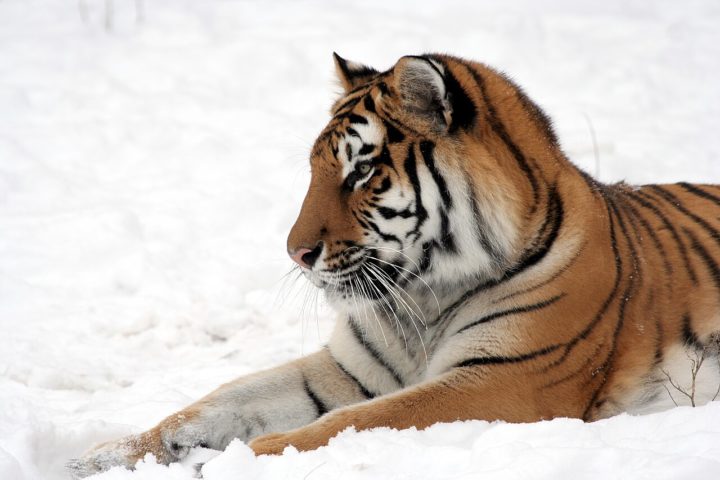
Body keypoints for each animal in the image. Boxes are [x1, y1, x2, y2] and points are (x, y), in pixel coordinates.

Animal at [70, 53, 720, 476]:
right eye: (316, 168)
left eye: (361, 171)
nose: (294, 253)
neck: (424, 299)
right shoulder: (346, 369)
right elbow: (220, 400)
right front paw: (106, 457)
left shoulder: (504, 380)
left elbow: (351, 424)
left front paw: (234, 464)